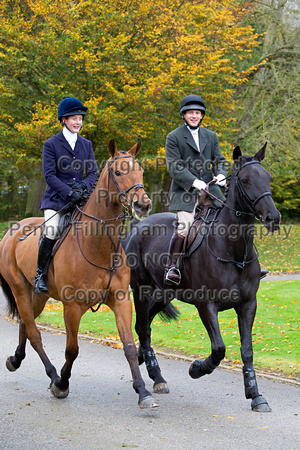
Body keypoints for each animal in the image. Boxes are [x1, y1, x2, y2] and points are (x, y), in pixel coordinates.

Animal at [0, 139, 159, 410]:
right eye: (118, 173)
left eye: (140, 171)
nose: (143, 205)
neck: (99, 245)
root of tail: (13, 229)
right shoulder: (72, 307)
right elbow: (72, 350)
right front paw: (62, 383)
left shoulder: (121, 300)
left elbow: (128, 346)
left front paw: (143, 392)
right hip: (19, 288)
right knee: (34, 333)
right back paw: (52, 375)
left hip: (39, 295)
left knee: (25, 323)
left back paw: (16, 359)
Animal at [122, 143, 282, 412]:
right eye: (246, 180)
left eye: (268, 177)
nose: (274, 218)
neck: (234, 250)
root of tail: (136, 227)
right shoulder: (206, 305)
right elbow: (218, 349)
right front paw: (197, 368)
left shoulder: (248, 304)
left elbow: (247, 350)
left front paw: (256, 394)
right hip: (142, 291)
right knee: (143, 328)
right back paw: (155, 374)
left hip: (163, 295)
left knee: (145, 327)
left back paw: (151, 367)